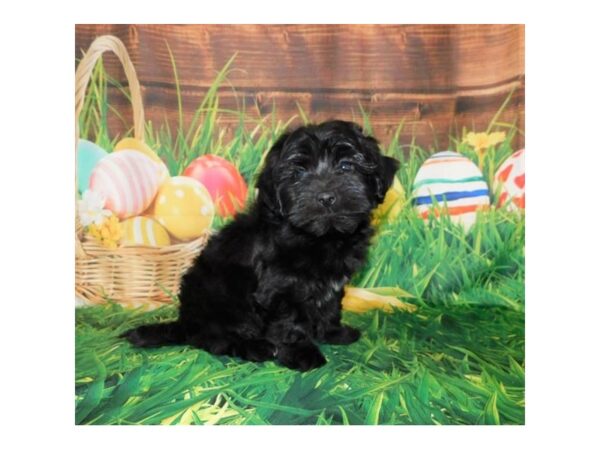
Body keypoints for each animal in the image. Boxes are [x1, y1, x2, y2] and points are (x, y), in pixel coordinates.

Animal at [123, 119, 398, 370]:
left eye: (346, 166)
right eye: (298, 174)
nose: (326, 197)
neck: (321, 237)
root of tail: (186, 322)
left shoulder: (333, 283)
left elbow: (330, 306)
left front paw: (333, 332)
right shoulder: (281, 288)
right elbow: (290, 322)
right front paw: (302, 353)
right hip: (217, 298)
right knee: (216, 339)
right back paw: (256, 347)